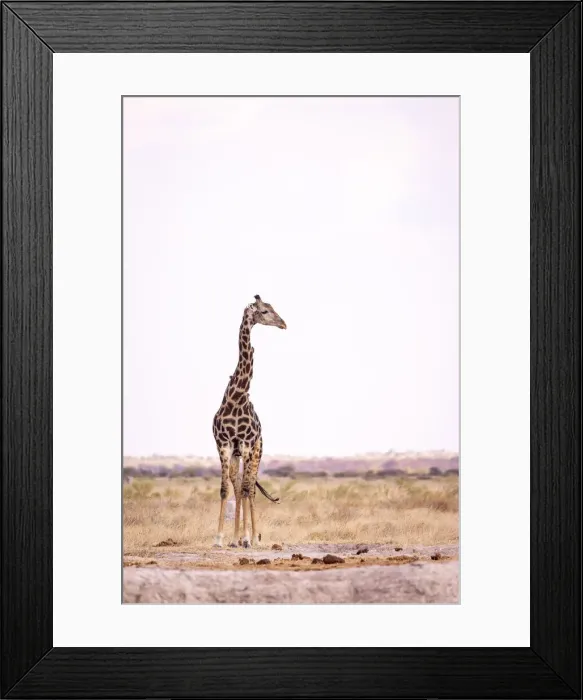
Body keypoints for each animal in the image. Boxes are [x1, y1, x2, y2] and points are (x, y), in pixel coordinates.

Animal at [212, 295, 286, 548]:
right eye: (264, 311)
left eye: (272, 308)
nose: (283, 324)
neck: (236, 398)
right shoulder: (224, 444)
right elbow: (226, 489)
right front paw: (220, 539)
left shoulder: (245, 444)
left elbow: (246, 490)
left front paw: (246, 538)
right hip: (237, 455)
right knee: (238, 486)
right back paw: (236, 539)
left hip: (256, 451)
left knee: (250, 489)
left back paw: (253, 538)